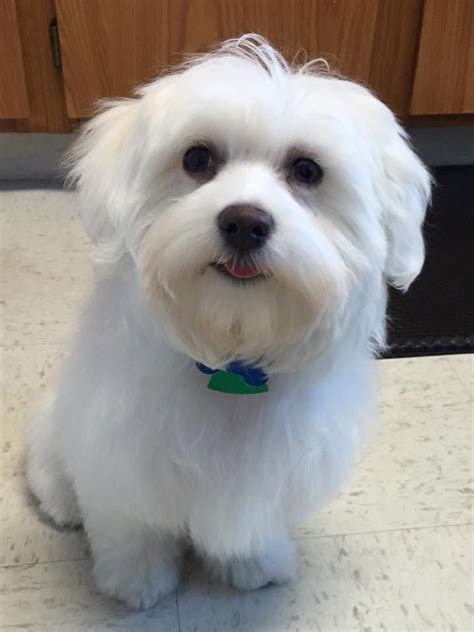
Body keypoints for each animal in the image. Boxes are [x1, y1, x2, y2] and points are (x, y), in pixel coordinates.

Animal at [27, 34, 432, 608]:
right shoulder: (121, 461)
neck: (232, 354)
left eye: (307, 171)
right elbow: (131, 527)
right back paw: (61, 505)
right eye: (197, 158)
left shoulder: (269, 478)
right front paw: (137, 581)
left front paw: (254, 563)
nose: (244, 222)